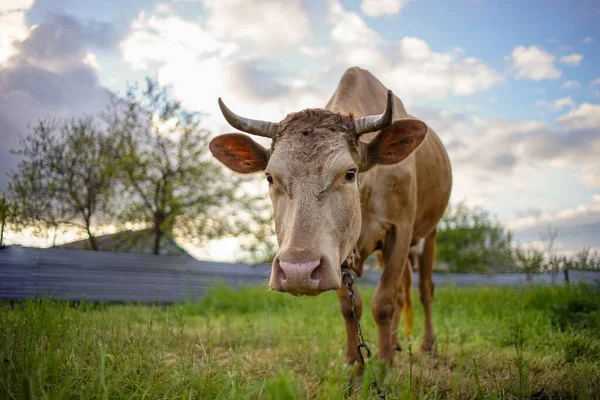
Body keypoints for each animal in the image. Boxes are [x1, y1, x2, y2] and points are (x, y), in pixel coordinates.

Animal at [210, 66, 450, 368]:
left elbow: (383, 302)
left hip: (430, 233)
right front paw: (355, 365)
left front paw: (384, 367)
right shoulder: (337, 252)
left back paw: (429, 346)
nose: (298, 272)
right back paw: (395, 344)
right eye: (269, 177)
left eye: (350, 173)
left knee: (424, 290)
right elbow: (350, 306)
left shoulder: (400, 230)